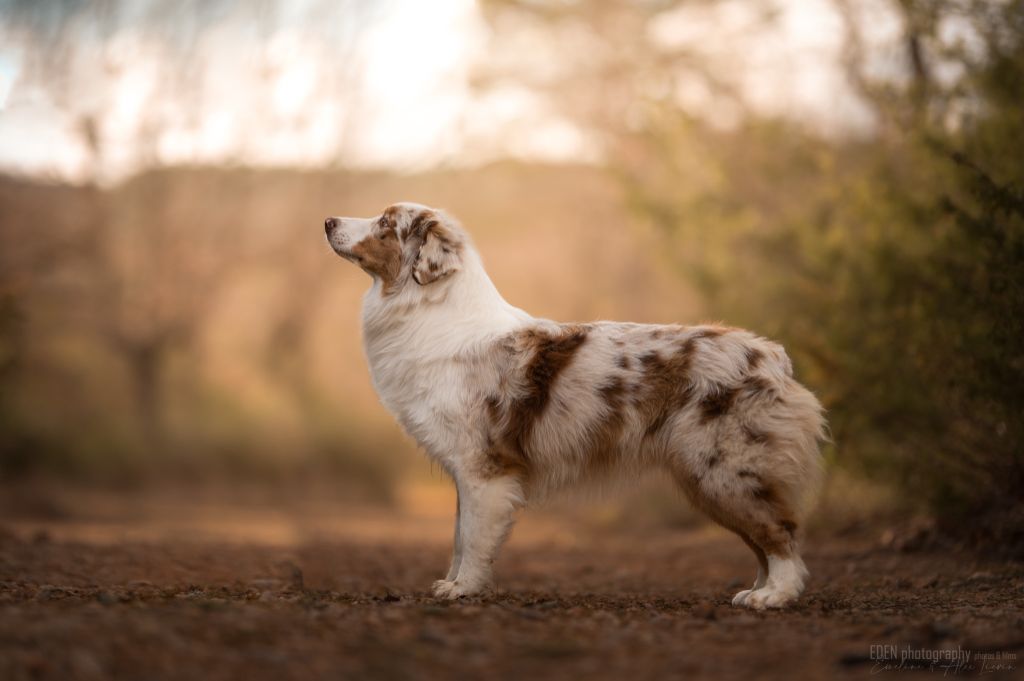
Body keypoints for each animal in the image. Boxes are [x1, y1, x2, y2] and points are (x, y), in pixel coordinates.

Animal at [323, 200, 827, 606]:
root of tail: (772, 356)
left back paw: (775, 596)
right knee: (764, 539)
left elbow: (473, 538)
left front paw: (463, 588)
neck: (433, 311)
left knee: (781, 533)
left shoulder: (483, 467)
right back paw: (757, 590)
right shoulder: (465, 471)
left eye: (386, 223)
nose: (328, 221)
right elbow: (458, 536)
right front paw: (453, 582)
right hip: (710, 478)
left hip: (723, 470)